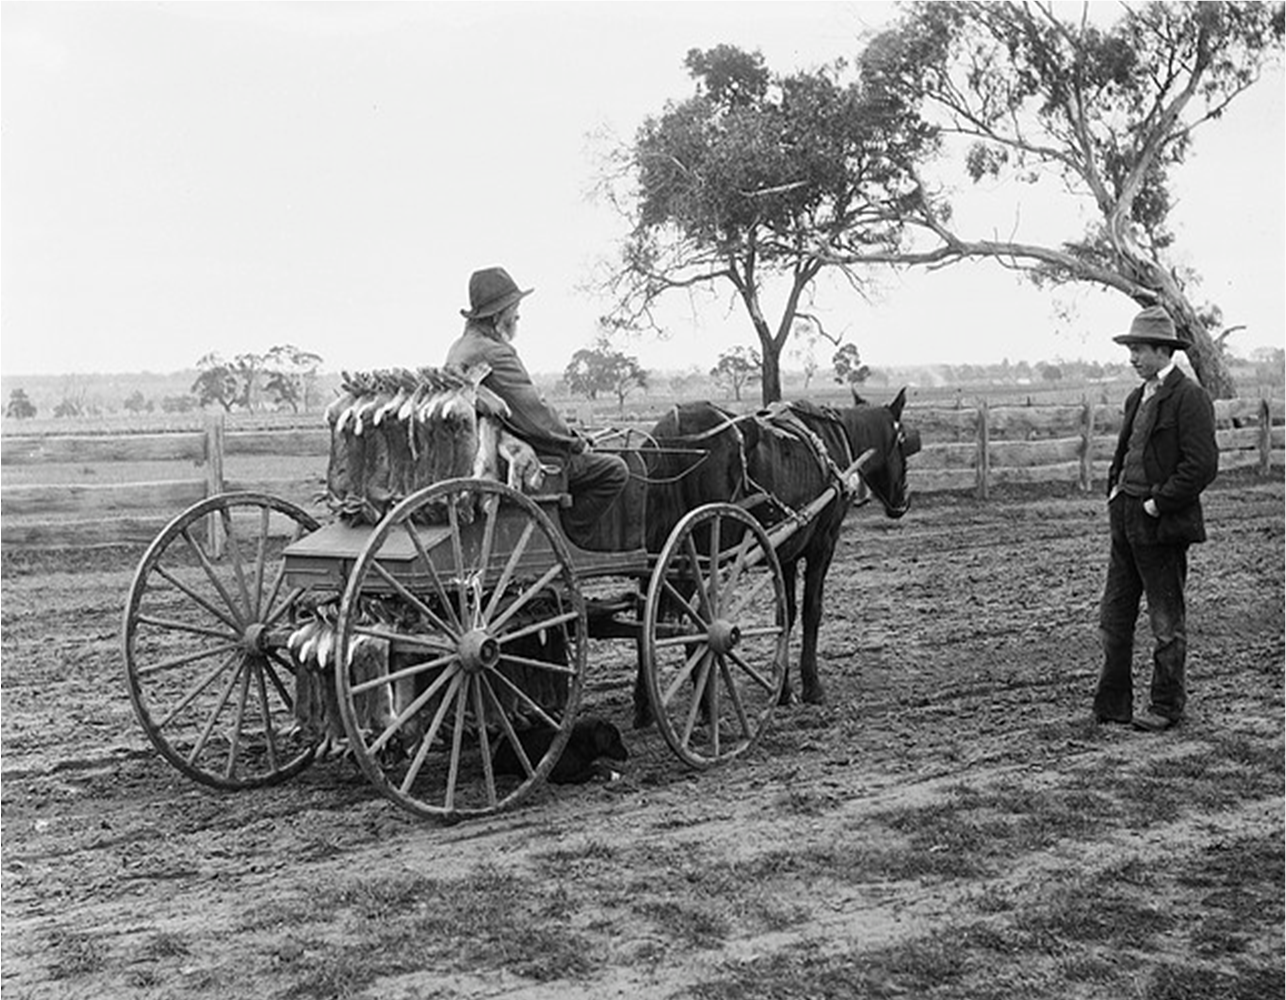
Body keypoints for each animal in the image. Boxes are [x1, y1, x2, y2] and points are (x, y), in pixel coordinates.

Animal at [491, 714, 627, 786]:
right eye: (615, 739)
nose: (627, 754)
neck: (575, 742)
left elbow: (597, 764)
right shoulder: (561, 777)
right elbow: (595, 767)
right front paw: (612, 775)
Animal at [637, 385, 920, 719]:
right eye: (902, 442)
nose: (903, 501)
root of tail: (674, 432)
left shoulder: (785, 554)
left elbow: (785, 614)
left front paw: (784, 690)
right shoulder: (823, 545)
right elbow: (811, 611)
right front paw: (812, 687)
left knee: (645, 618)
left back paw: (644, 708)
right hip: (700, 556)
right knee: (694, 623)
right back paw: (705, 708)